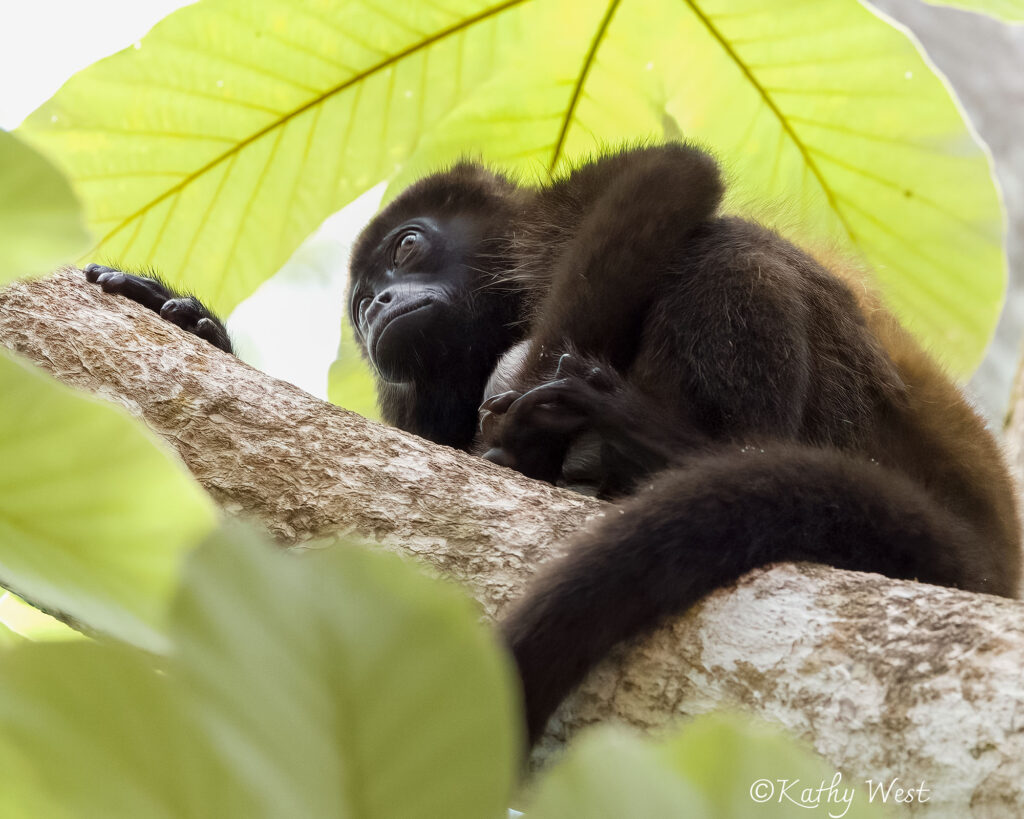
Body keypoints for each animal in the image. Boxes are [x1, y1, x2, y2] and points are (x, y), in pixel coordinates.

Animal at [86, 142, 1023, 748]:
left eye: (409, 248)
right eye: (359, 301)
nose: (380, 303)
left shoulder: (549, 221)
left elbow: (667, 177)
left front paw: (519, 432)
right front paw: (193, 323)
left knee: (726, 244)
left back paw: (664, 449)